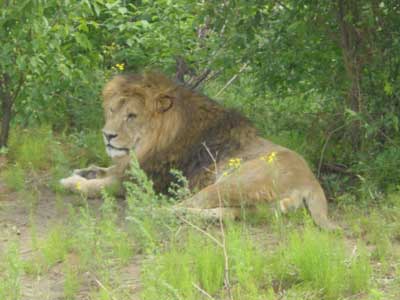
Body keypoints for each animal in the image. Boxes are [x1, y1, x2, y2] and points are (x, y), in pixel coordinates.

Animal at [60, 72, 338, 230]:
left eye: (132, 116)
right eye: (112, 110)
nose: (107, 135)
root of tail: (312, 183)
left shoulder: (147, 181)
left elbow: (98, 186)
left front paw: (73, 182)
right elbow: (104, 169)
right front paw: (86, 170)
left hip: (233, 182)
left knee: (176, 207)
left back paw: (148, 211)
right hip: (252, 204)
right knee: (226, 215)